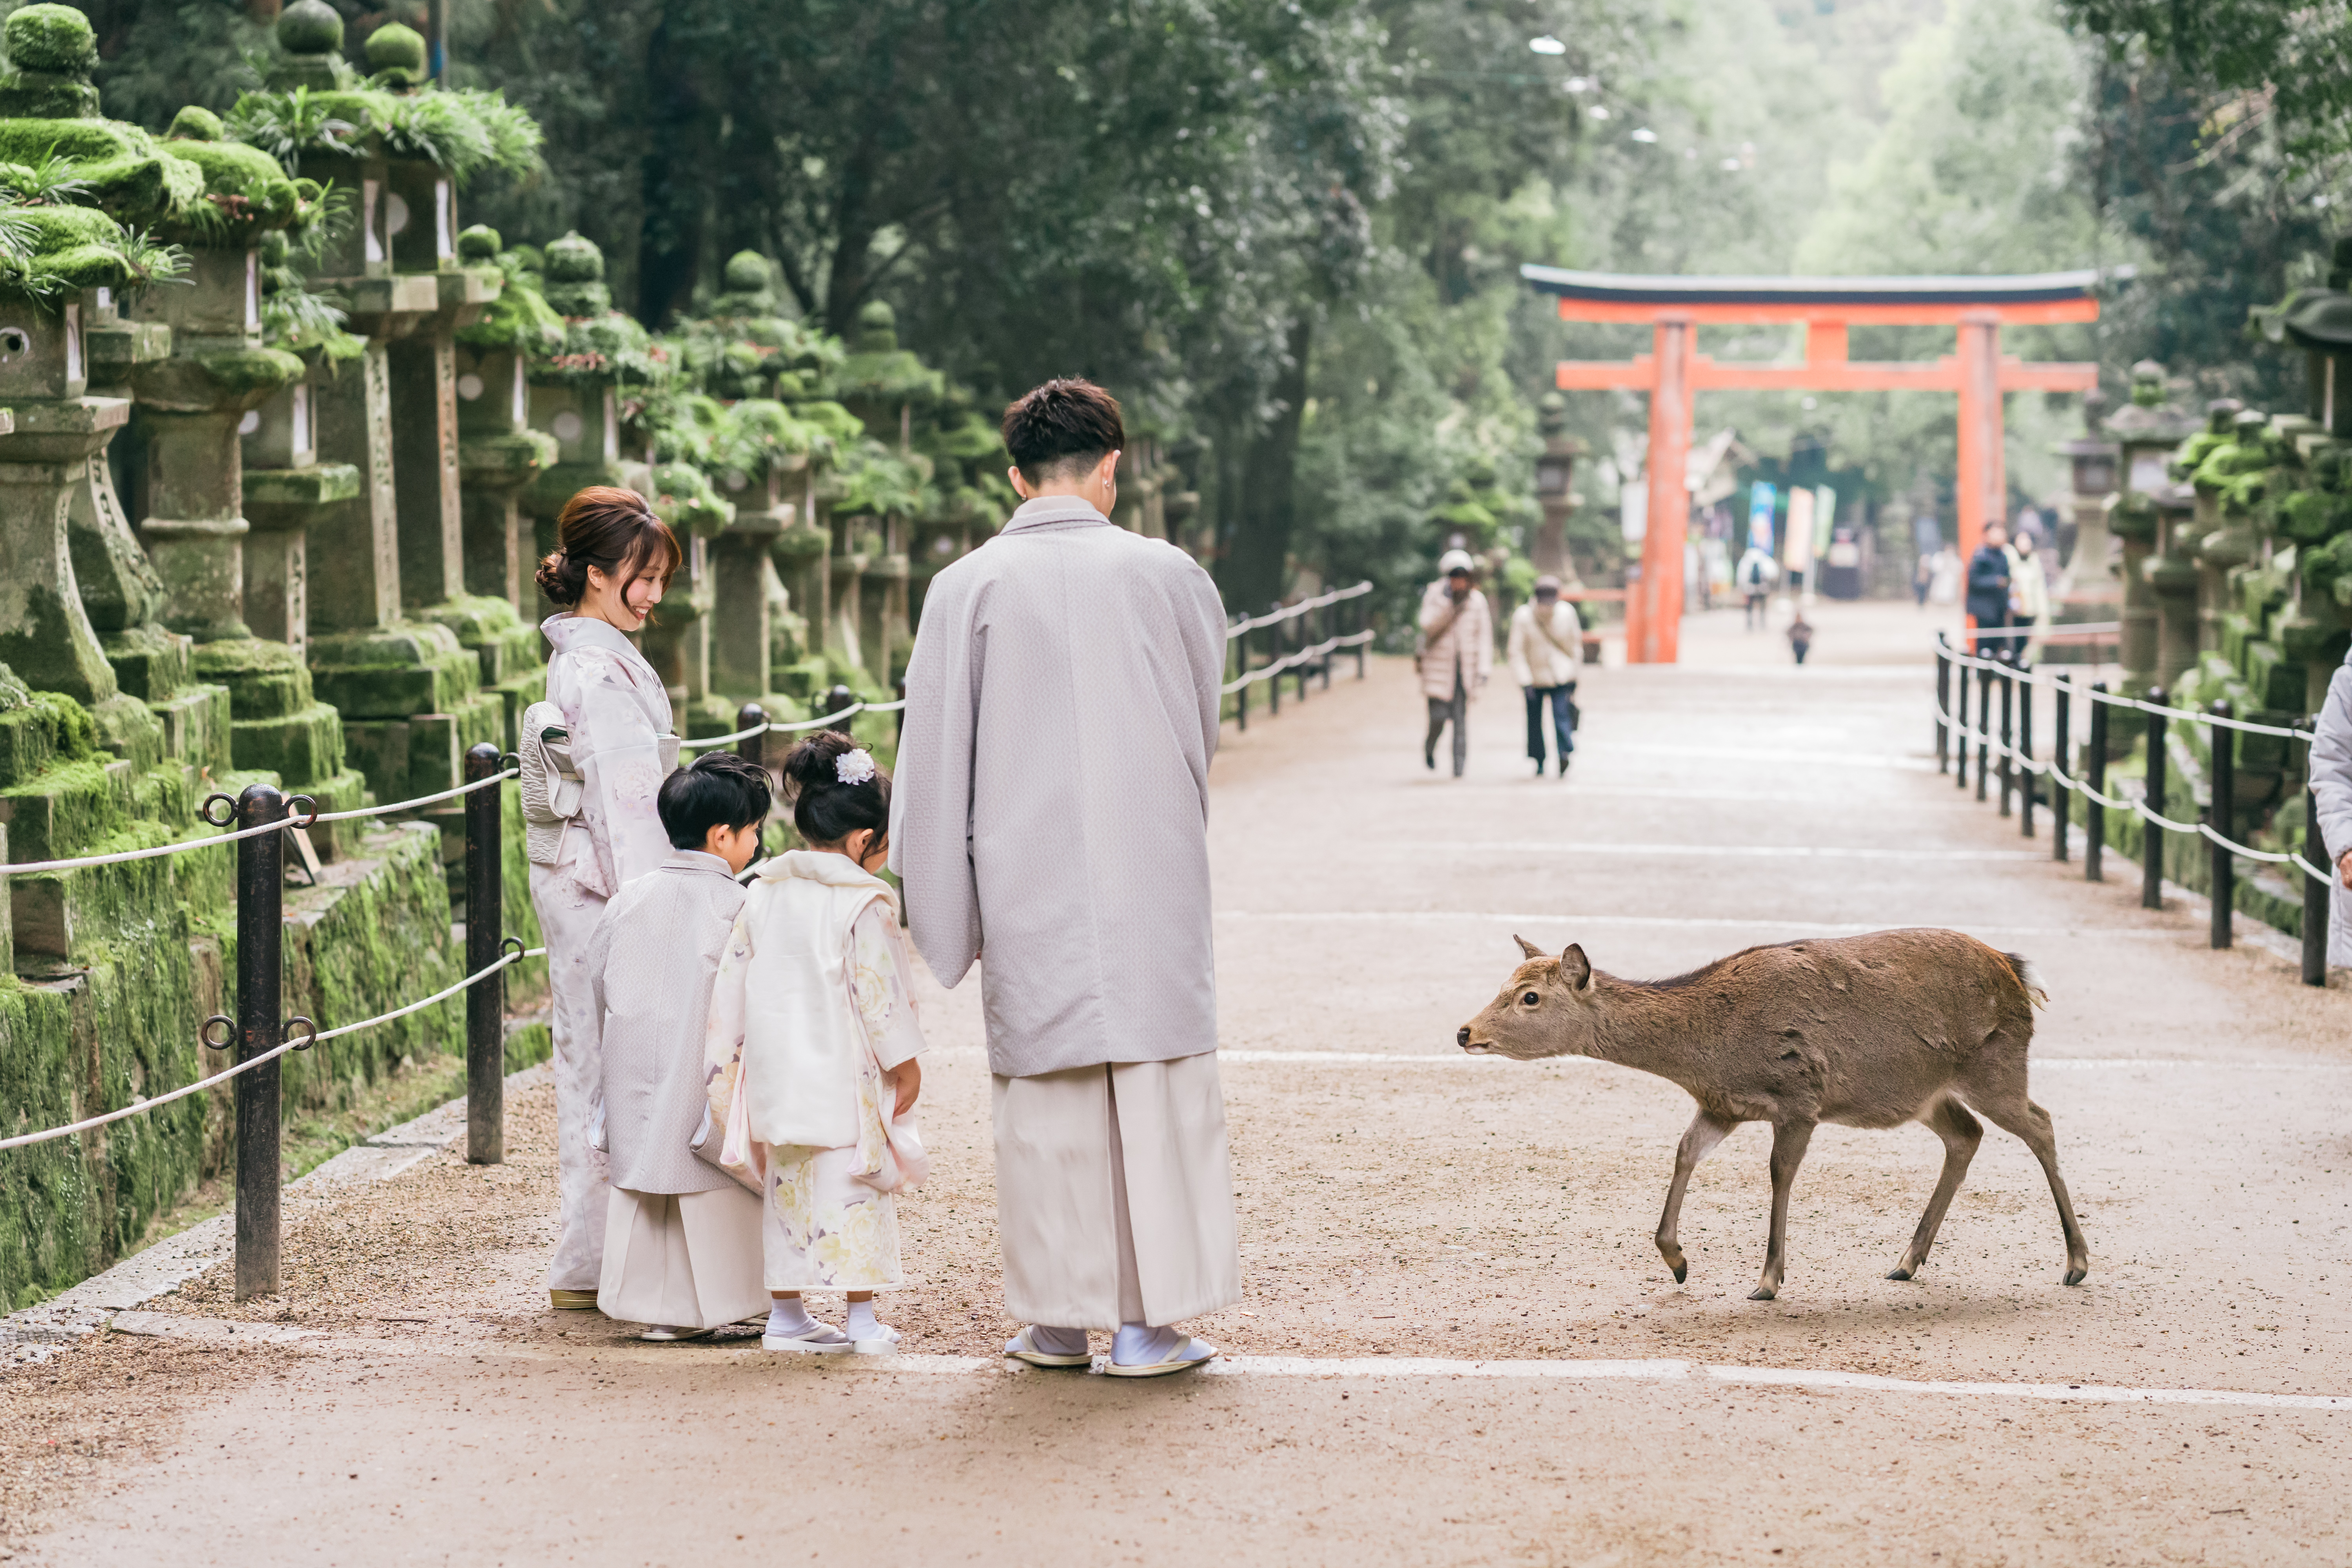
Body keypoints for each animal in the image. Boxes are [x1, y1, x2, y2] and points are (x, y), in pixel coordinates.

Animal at [1449, 931, 2098, 1298]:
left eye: (1530, 997)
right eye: (1507, 984)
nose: (1464, 1032)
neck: (1707, 1051)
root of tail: (2019, 973)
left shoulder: (1798, 1098)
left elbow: (1779, 1175)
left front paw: (1766, 1280)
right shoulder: (1720, 1105)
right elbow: (1684, 1153)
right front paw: (1678, 1262)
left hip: (1996, 1065)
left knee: (2040, 1123)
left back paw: (2076, 1263)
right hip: (1924, 1091)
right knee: (1967, 1135)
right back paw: (1907, 1263)